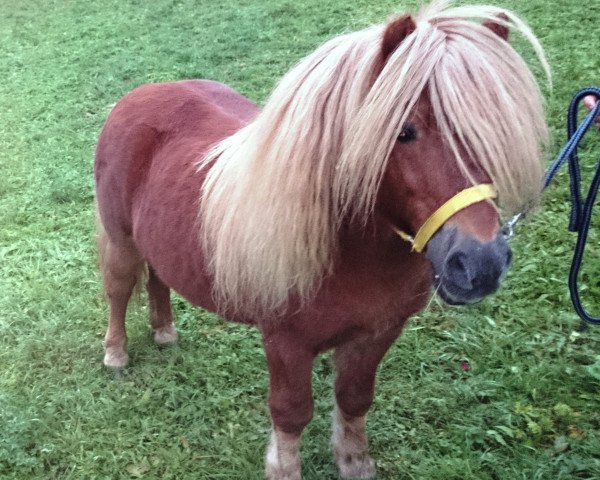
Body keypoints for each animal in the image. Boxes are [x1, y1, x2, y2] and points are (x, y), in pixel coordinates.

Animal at [96, 1, 552, 478]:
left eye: (495, 130)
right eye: (403, 132)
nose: (480, 264)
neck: (351, 251)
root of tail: (138, 96)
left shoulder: (376, 334)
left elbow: (354, 400)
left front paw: (354, 463)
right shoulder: (287, 344)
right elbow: (291, 414)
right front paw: (285, 469)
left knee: (158, 278)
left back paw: (165, 332)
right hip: (121, 240)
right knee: (118, 288)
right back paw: (116, 354)